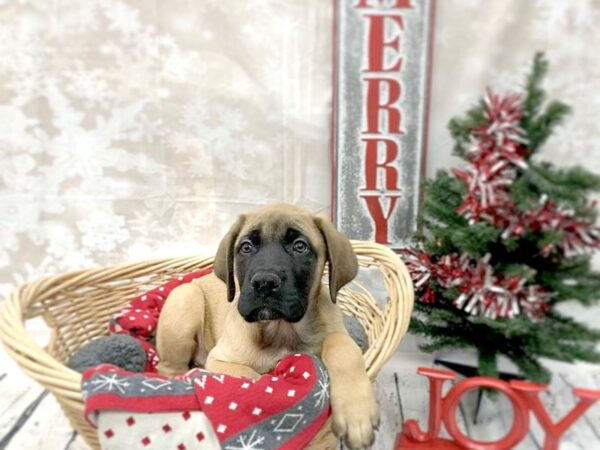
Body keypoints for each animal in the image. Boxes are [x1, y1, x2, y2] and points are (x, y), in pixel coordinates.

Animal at [157, 205, 378, 450]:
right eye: (246, 247)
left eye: (300, 246)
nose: (264, 283)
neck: (281, 330)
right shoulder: (219, 359)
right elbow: (253, 377)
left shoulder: (336, 332)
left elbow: (341, 345)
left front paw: (355, 412)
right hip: (187, 296)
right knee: (169, 369)